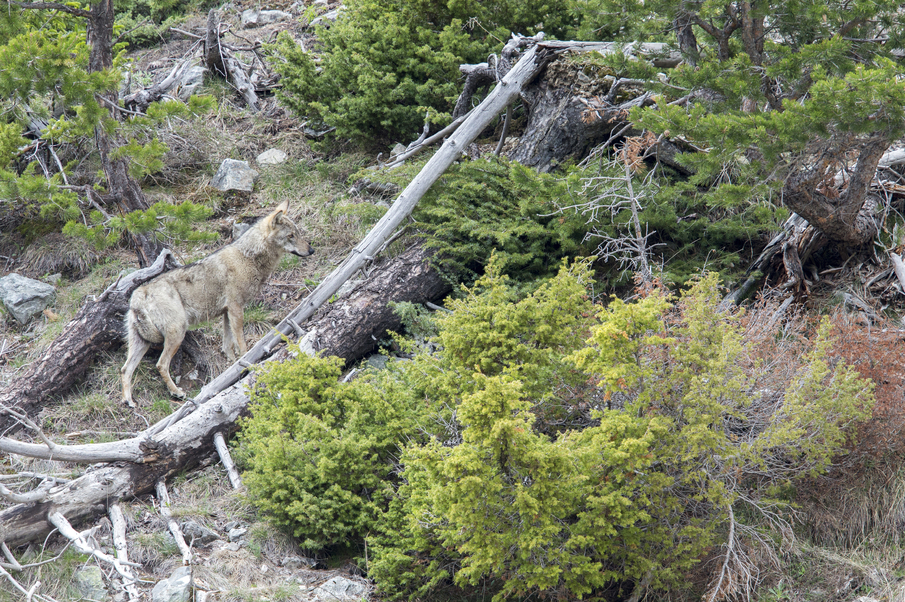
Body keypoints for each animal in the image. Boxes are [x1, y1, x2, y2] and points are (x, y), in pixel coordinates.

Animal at [122, 200, 314, 404]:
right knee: (160, 364)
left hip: (142, 343)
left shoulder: (226, 313)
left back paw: (128, 401)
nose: (311, 250)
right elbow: (241, 343)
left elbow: (227, 346)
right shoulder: (236, 308)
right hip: (177, 333)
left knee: (125, 369)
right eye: (291, 236)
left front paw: (231, 367)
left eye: (298, 233)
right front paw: (247, 361)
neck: (247, 258)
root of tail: (138, 295)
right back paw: (176, 392)